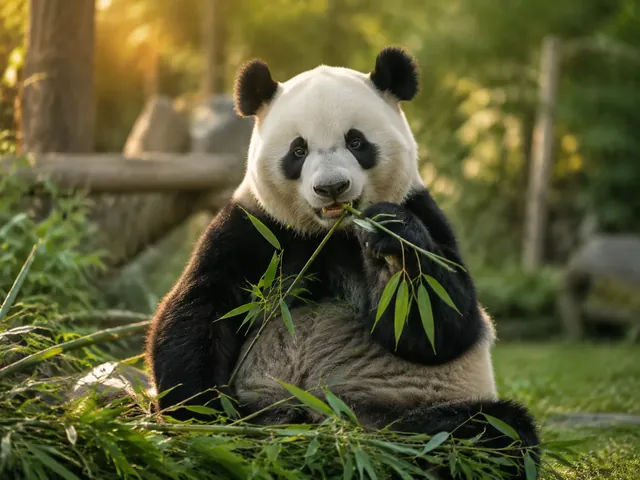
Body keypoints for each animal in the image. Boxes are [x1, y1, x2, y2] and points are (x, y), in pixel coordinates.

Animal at [146, 47, 540, 479]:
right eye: (298, 150)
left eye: (356, 141)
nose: (331, 187)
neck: (331, 233)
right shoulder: (253, 228)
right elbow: (200, 309)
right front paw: (203, 420)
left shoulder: (422, 209)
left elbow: (443, 326)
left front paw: (391, 247)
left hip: (405, 409)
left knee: (488, 434)